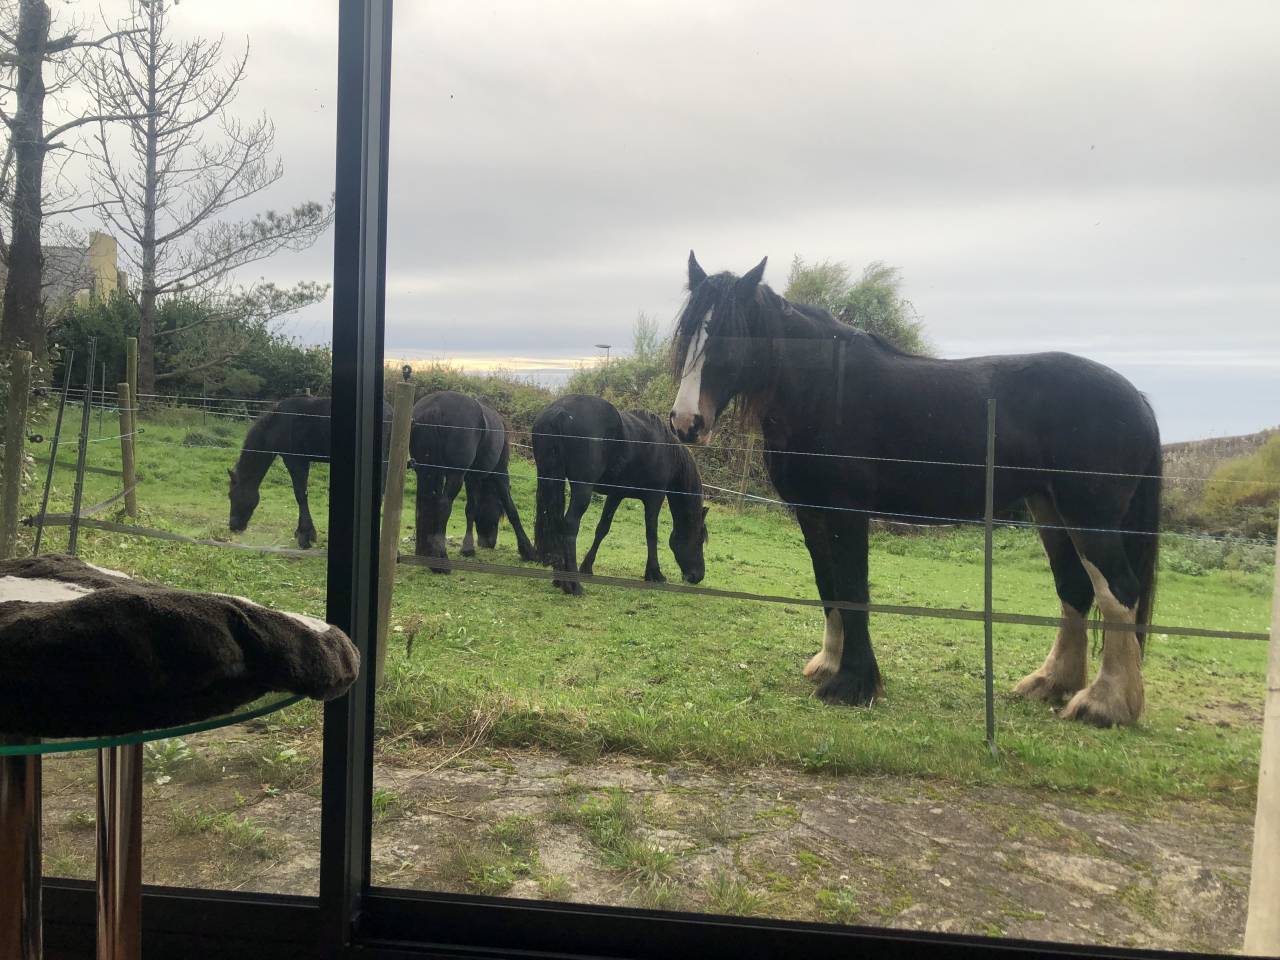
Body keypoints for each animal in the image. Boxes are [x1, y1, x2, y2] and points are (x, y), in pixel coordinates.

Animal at [228, 396, 391, 548]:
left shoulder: (296, 461)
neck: (278, 424)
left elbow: (300, 495)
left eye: (231, 495)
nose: (233, 526)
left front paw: (305, 535)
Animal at [410, 390, 536, 572]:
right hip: (455, 475)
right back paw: (441, 561)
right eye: (498, 513)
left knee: (425, 506)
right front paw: (527, 549)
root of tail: (435, 406)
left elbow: (471, 509)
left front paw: (467, 548)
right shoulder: (499, 472)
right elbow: (511, 508)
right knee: (443, 505)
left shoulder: (472, 477)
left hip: (425, 472)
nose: (488, 543)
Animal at [532, 394, 708, 596]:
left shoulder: (616, 495)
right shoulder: (654, 497)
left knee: (554, 521)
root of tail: (558, 411)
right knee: (569, 524)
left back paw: (559, 579)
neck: (667, 450)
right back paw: (574, 585)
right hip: (582, 489)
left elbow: (602, 528)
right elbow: (651, 533)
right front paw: (655, 573)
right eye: (700, 539)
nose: (697, 576)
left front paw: (587, 566)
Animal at [669, 252, 1161, 727]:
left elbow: (853, 587)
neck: (825, 390)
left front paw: (852, 684)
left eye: (730, 339)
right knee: (1075, 588)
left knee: (1118, 592)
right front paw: (830, 664)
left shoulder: (847, 511)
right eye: (687, 336)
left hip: (1090, 517)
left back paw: (1103, 705)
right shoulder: (811, 510)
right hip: (1049, 510)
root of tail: (1137, 398)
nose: (686, 422)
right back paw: (1051, 684)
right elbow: (828, 583)